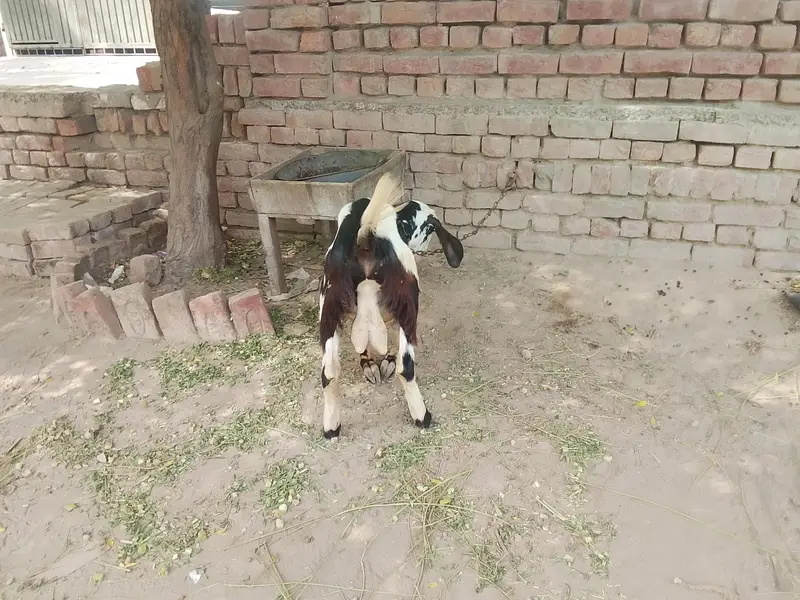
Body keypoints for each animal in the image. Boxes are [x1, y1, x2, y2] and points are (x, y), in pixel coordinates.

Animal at [318, 172, 464, 439]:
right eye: (429, 229)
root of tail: (365, 236)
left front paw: (370, 365)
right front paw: (385, 361)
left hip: (328, 306)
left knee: (329, 372)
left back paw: (331, 427)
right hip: (408, 301)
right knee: (406, 368)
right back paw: (422, 416)